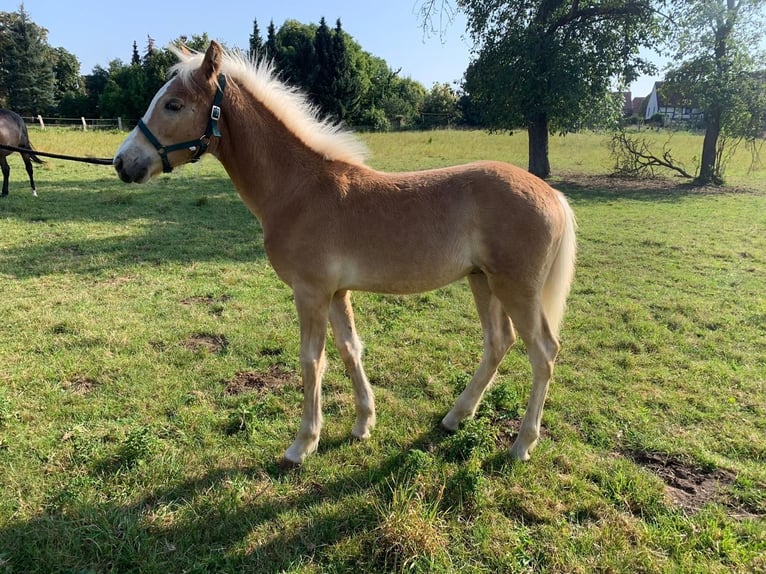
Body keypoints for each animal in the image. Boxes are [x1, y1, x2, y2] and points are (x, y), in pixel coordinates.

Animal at [115, 41, 576, 468]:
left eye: (174, 104)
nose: (123, 162)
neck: (298, 190)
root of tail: (552, 194)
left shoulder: (311, 292)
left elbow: (311, 360)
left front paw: (303, 444)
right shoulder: (337, 292)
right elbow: (350, 348)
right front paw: (363, 424)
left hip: (516, 288)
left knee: (543, 353)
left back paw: (521, 445)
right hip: (483, 281)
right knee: (499, 342)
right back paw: (455, 417)